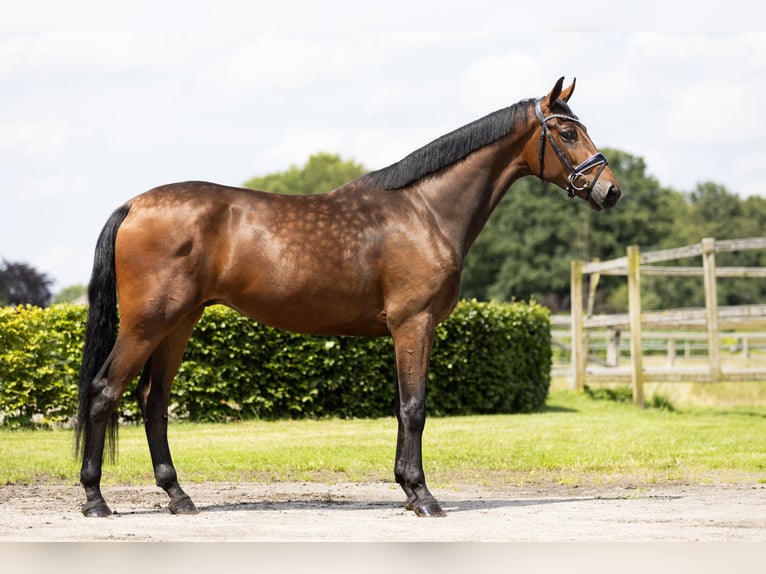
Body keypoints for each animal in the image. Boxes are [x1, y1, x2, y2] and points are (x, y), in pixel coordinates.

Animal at [75, 74, 620, 520]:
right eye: (567, 133)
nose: (610, 191)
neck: (425, 211)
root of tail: (134, 204)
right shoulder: (413, 323)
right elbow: (414, 407)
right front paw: (423, 497)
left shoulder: (405, 329)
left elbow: (402, 406)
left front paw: (407, 489)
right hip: (147, 323)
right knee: (104, 392)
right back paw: (96, 500)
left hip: (179, 323)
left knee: (153, 402)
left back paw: (178, 496)